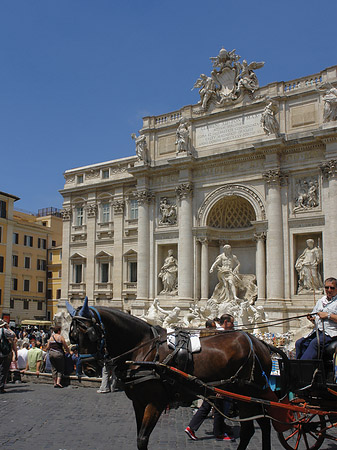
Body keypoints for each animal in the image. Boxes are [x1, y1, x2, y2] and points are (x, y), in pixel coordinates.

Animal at [67, 298, 286, 450]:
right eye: (73, 336)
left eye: (90, 334)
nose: (88, 368)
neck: (143, 350)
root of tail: (260, 342)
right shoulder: (138, 402)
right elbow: (139, 438)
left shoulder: (155, 403)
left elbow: (142, 439)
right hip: (246, 395)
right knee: (258, 426)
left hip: (248, 393)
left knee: (258, 426)